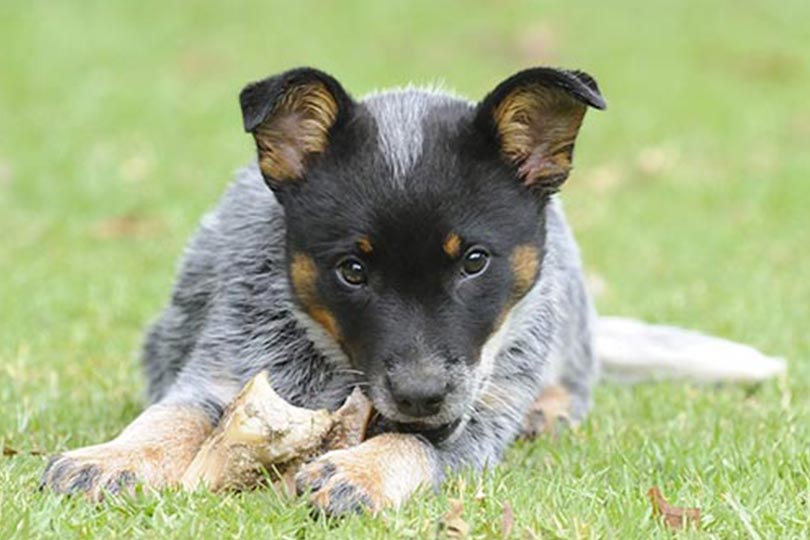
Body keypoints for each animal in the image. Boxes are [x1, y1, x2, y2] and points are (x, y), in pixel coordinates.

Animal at [39, 65, 784, 512]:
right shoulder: (224, 373)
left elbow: (418, 444)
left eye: (474, 262)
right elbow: (169, 417)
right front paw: (113, 456)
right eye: (353, 269)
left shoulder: (479, 413)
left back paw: (550, 409)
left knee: (577, 379)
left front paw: (359, 472)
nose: (422, 395)